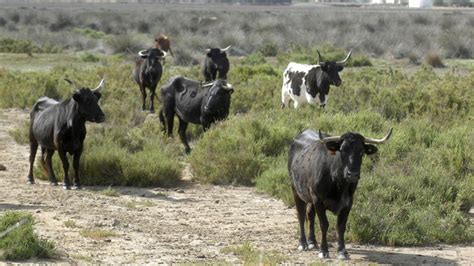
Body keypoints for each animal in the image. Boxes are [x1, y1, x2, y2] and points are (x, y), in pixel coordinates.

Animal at [288, 128, 392, 260]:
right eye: (342, 150)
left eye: (361, 152)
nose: (352, 174)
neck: (338, 183)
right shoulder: (318, 199)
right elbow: (324, 224)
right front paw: (324, 251)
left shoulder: (348, 202)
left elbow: (341, 226)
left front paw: (342, 251)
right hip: (295, 190)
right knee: (301, 215)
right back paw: (303, 243)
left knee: (310, 215)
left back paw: (312, 242)